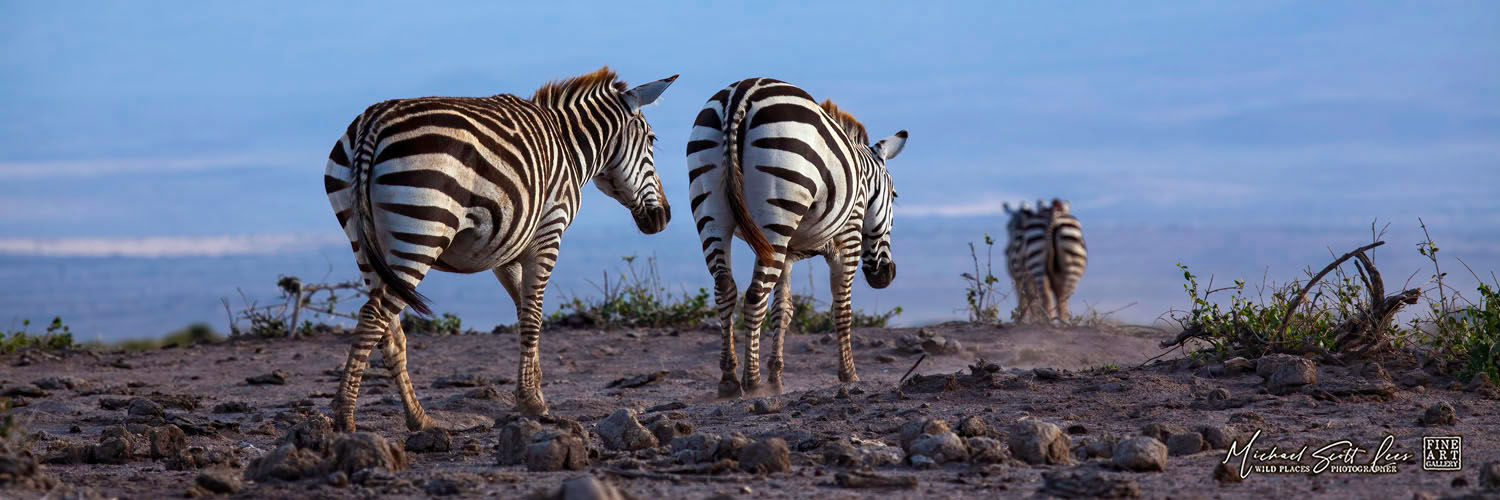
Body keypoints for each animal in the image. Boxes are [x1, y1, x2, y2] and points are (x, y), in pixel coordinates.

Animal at [322, 67, 677, 431]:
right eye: (652, 140)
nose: (663, 217)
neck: (568, 145)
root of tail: (372, 122)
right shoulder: (548, 233)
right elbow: (533, 317)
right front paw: (532, 402)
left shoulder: (506, 252)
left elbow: (524, 311)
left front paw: (534, 388)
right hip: (421, 230)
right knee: (373, 316)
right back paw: (345, 416)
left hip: (364, 243)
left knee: (388, 330)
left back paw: (419, 418)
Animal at [686, 78, 907, 397]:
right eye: (894, 195)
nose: (886, 274)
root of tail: (741, 93)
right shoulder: (849, 238)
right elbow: (842, 309)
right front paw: (849, 375)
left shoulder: (787, 253)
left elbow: (783, 310)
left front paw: (776, 378)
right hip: (777, 206)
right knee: (755, 294)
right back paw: (752, 381)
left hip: (712, 210)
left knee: (725, 288)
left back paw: (729, 379)